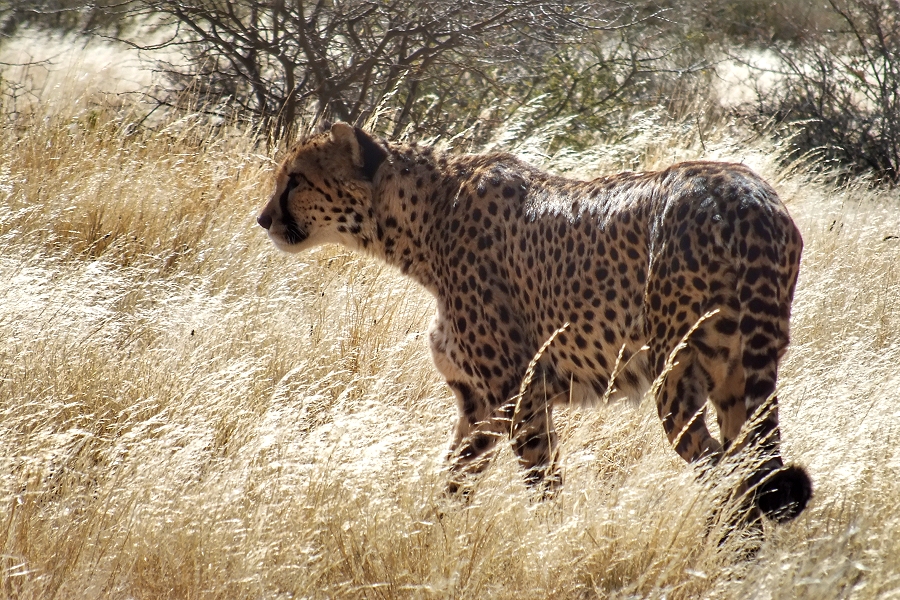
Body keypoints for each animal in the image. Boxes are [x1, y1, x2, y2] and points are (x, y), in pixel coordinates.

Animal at [257, 122, 812, 527]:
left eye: (296, 179)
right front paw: (430, 534)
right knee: (751, 468)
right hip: (738, 379)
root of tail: (746, 192)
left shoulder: (519, 390)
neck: (424, 217)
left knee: (724, 472)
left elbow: (541, 482)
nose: (263, 219)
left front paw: (550, 540)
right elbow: (455, 477)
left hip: (674, 374)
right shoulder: (479, 402)